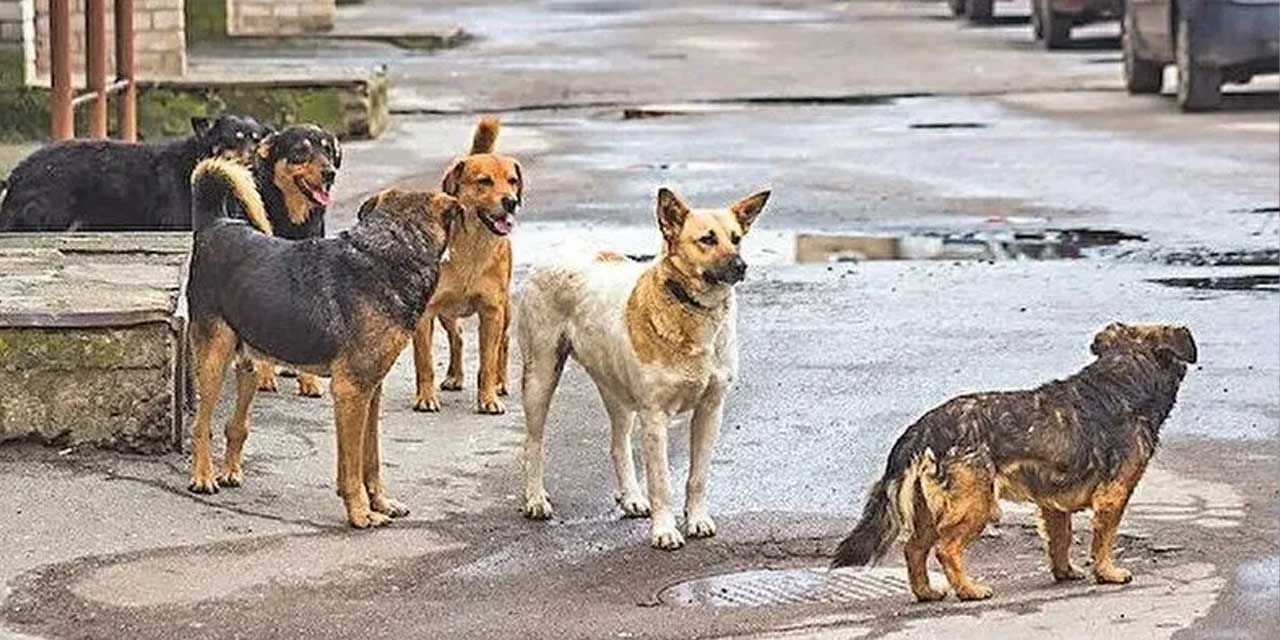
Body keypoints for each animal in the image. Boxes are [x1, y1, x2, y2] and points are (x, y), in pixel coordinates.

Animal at [0, 115, 270, 232]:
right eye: (235, 138)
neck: (196, 160)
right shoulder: (178, 222)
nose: (254, 155)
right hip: (55, 218)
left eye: (257, 139)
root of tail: (16, 175)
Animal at [183, 157, 458, 527]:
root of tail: (215, 223)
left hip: (250, 363)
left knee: (235, 425)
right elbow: (352, 467)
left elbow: (371, 459)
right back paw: (203, 476)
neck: (390, 251)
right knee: (202, 425)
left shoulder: (372, 390)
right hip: (215, 356)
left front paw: (381, 503)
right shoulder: (351, 391)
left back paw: (230, 471)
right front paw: (360, 513)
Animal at [409, 115, 519, 414]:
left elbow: (488, 362)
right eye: (484, 181)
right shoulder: (425, 313)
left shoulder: (492, 311)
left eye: (513, 181)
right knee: (456, 336)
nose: (512, 202)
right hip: (446, 311)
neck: (473, 246)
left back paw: (501, 383)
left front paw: (488, 398)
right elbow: (424, 362)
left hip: (505, 309)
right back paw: (454, 376)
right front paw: (426, 397)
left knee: (504, 342)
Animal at [512, 186, 768, 550]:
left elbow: (698, 477)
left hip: (616, 389)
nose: (741, 265)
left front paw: (697, 519)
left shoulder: (710, 410)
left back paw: (631, 497)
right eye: (707, 239)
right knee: (534, 441)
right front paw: (665, 531)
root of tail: (558, 248)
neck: (691, 310)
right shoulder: (656, 418)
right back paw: (535, 499)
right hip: (540, 376)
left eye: (736, 238)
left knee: (618, 444)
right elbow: (662, 483)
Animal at [834, 325, 1192, 599]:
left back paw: (927, 592)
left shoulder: (1053, 503)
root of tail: (923, 428)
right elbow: (1103, 541)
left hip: (927, 510)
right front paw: (1108, 573)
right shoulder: (1113, 496)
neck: (1122, 378)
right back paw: (969, 590)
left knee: (914, 549)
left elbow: (1060, 540)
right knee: (946, 549)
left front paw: (1064, 572)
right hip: (975, 504)